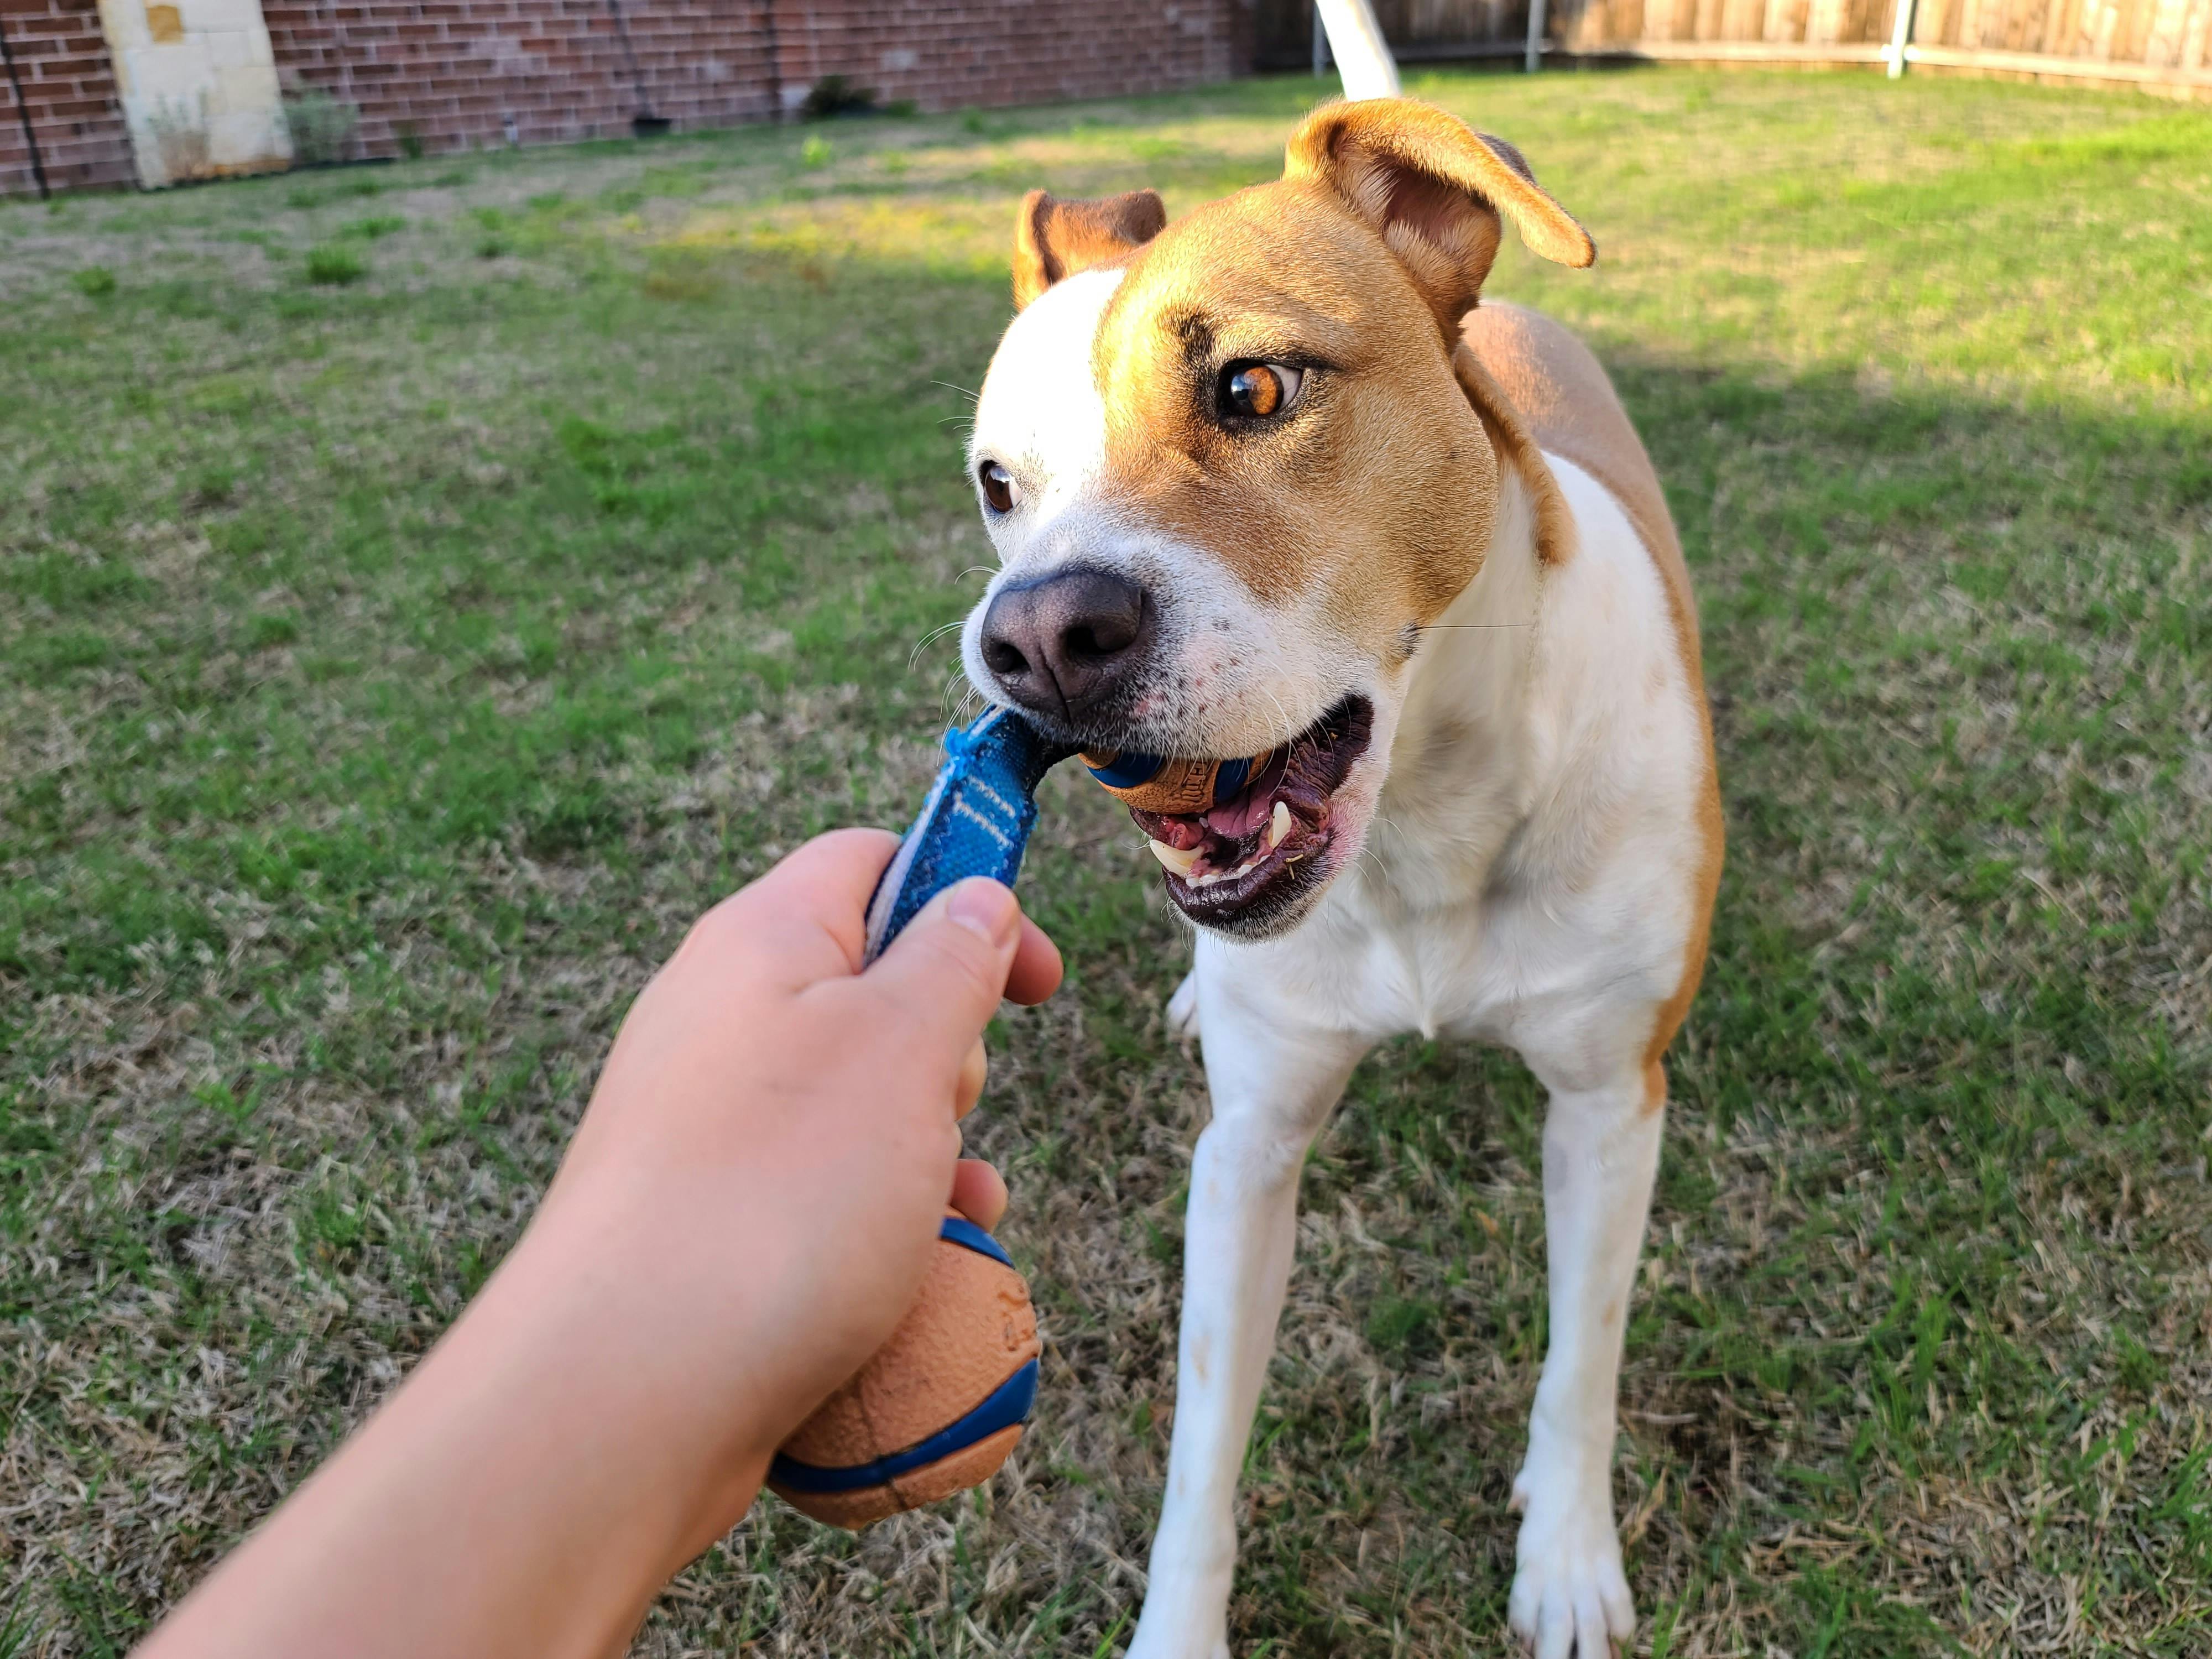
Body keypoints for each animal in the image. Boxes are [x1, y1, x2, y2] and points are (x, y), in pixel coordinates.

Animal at [960, 97, 1717, 1655]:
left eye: (1252, 388)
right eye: (997, 486)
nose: (1037, 639)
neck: (1424, 819)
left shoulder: (1610, 1107)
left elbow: (1582, 1359)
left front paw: (1565, 1559)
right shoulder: (1245, 1152)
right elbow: (1201, 1443)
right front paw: (1177, 1629)